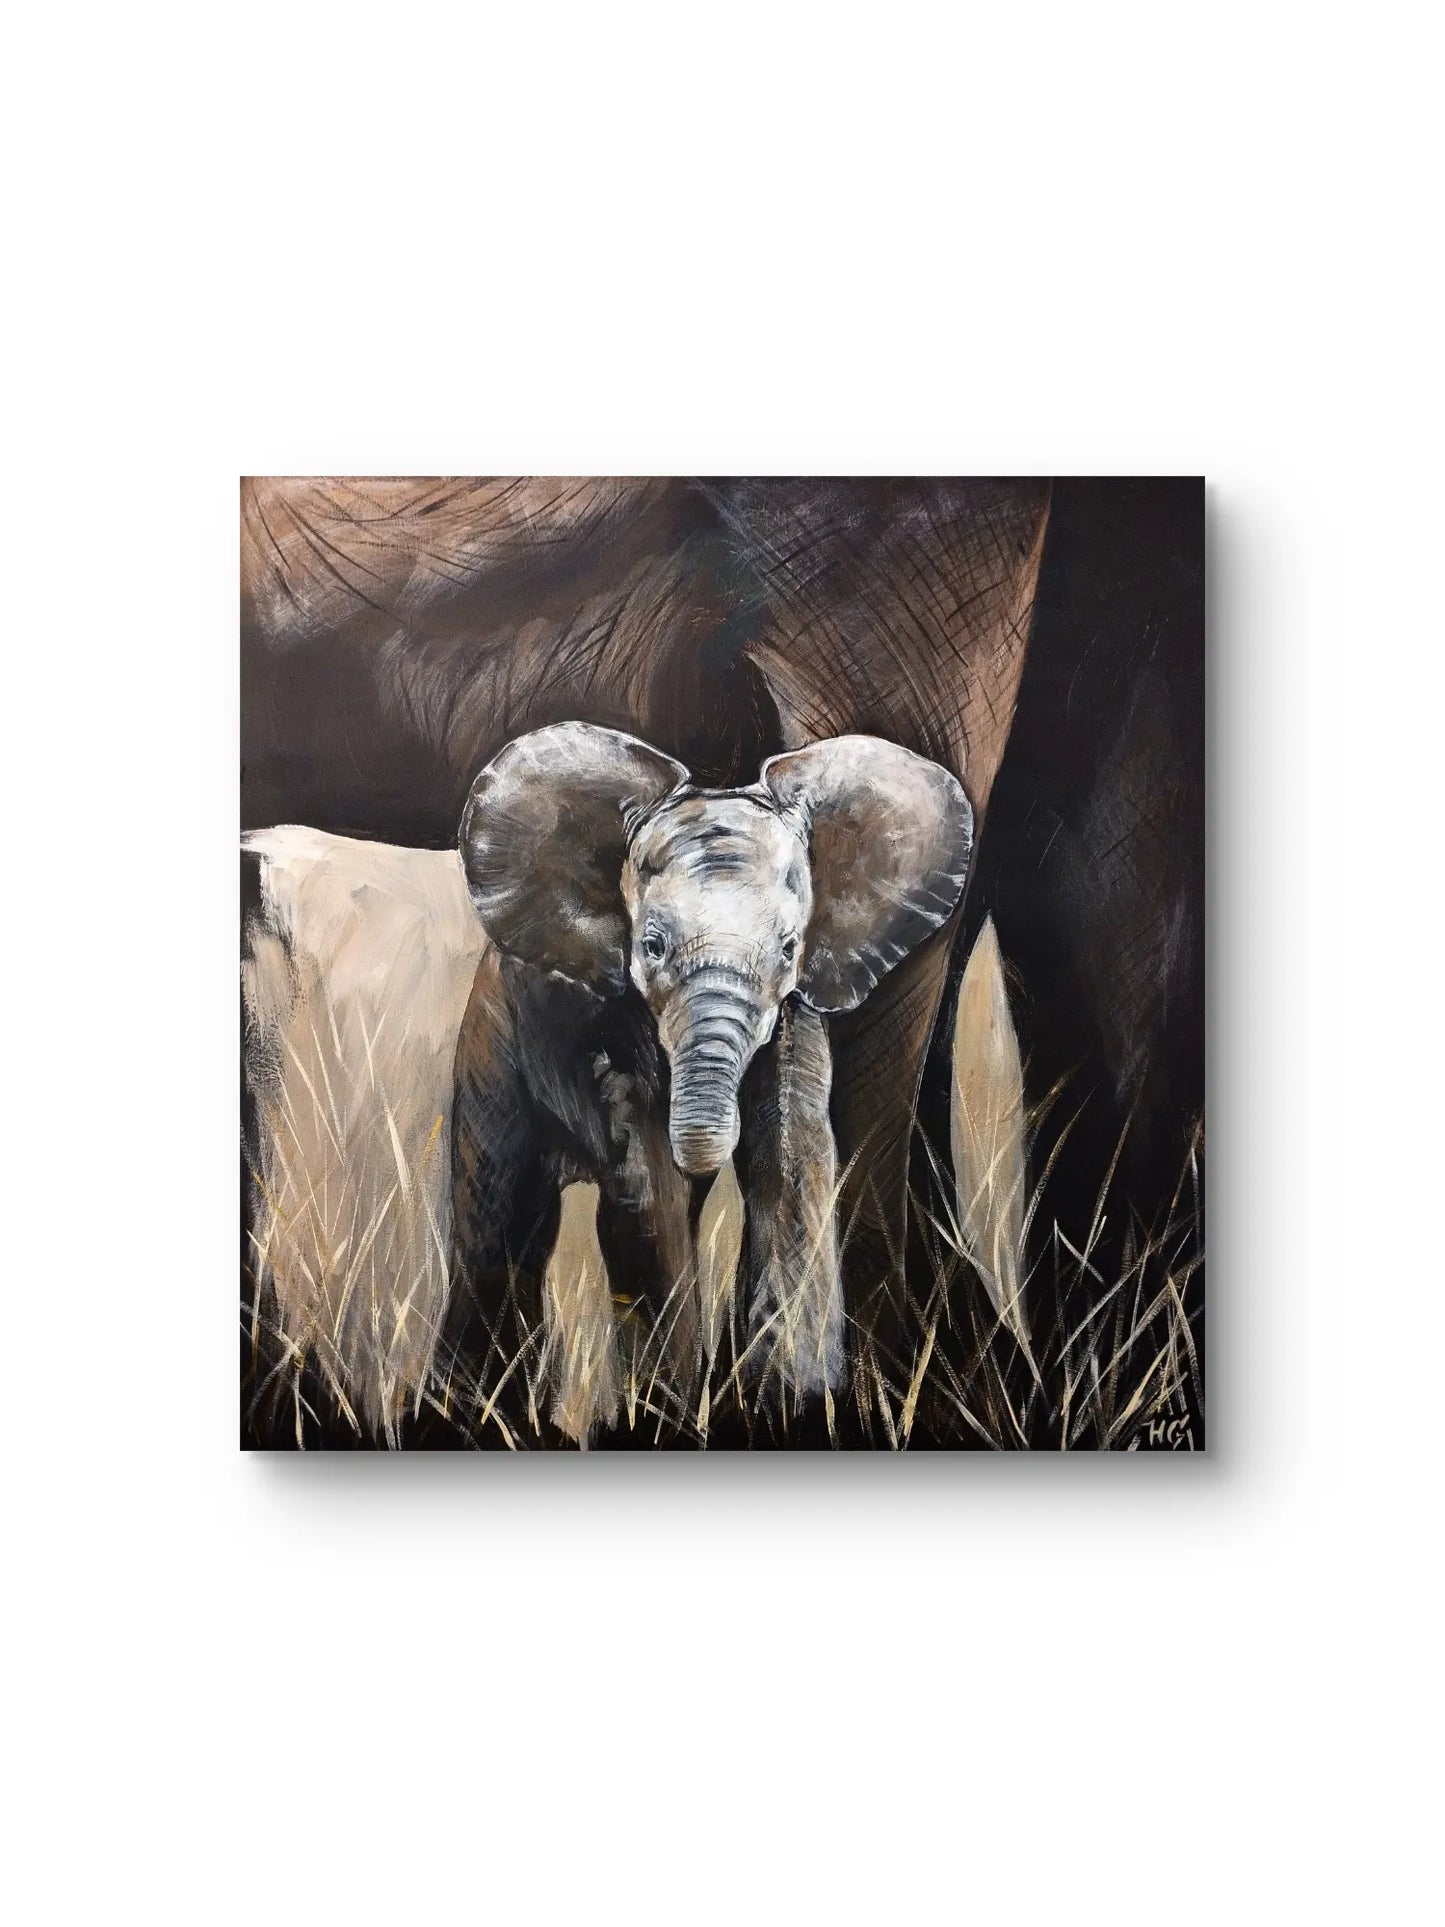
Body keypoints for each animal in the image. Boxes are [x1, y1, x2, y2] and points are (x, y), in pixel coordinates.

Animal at [445, 721, 973, 1431]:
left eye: (788, 949)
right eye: (652, 947)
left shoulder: (795, 1018)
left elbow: (793, 1160)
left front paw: (797, 1407)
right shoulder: (614, 1030)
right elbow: (647, 1194)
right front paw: (664, 1416)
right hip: (491, 1043)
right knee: (498, 1231)